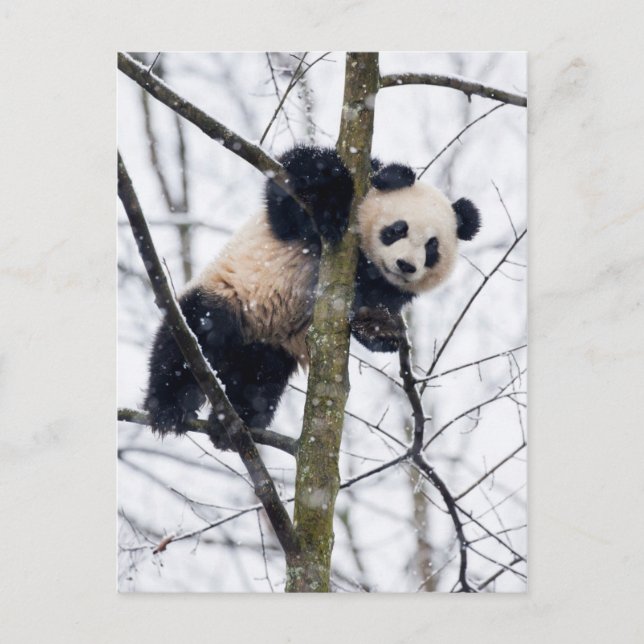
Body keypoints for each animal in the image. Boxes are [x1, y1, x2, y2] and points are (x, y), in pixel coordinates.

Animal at [144, 145, 480, 447]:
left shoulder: (385, 288)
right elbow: (295, 181)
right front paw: (333, 207)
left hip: (271, 348)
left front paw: (381, 330)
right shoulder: (297, 216)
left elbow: (371, 308)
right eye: (398, 229)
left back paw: (231, 425)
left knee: (260, 381)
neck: (366, 261)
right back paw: (167, 408)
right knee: (190, 338)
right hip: (229, 295)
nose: (406, 265)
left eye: (432, 247)